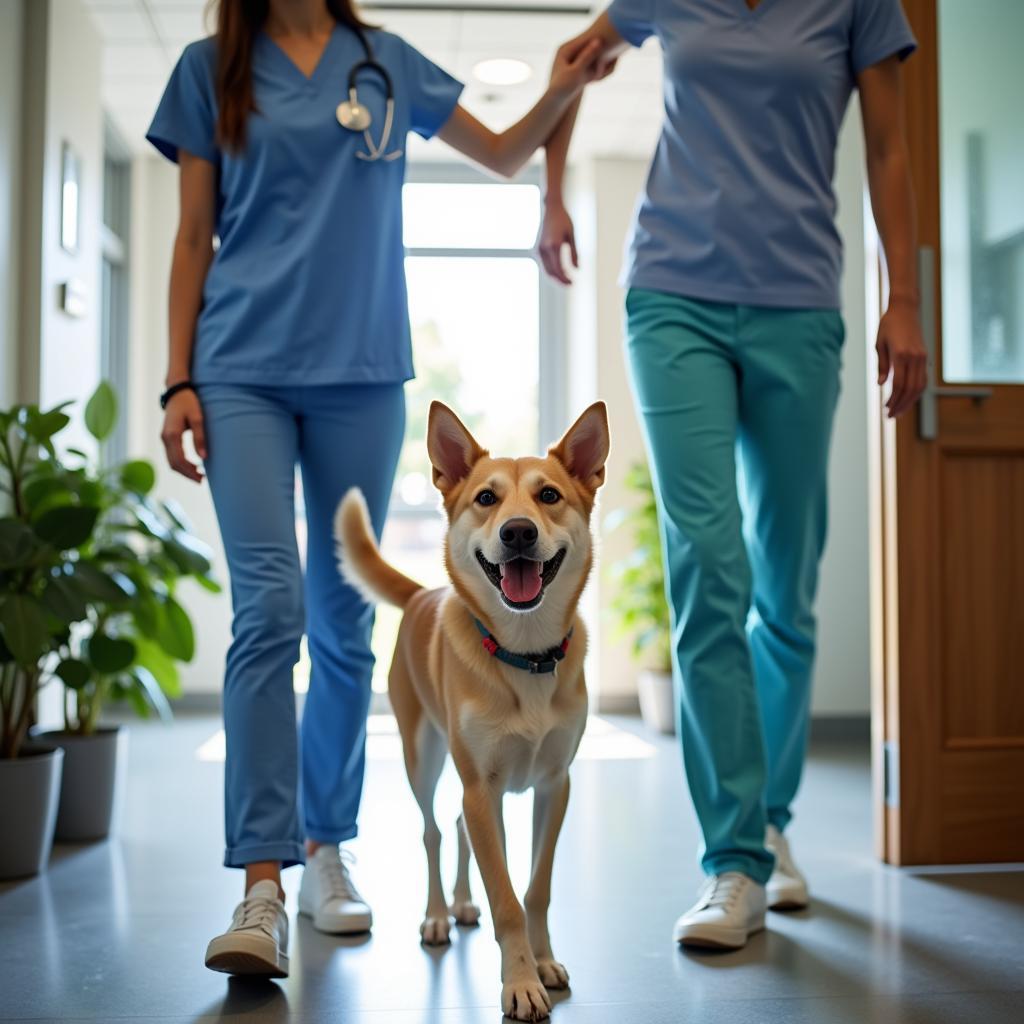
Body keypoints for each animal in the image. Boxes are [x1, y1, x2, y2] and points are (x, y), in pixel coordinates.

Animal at [335, 399, 606, 1015]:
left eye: (548, 495)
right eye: (486, 498)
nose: (518, 531)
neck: (524, 654)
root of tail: (421, 594)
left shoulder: (553, 784)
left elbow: (535, 888)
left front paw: (542, 961)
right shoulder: (482, 787)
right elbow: (505, 895)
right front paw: (520, 982)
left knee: (458, 825)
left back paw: (460, 903)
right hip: (424, 758)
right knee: (435, 832)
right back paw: (438, 914)